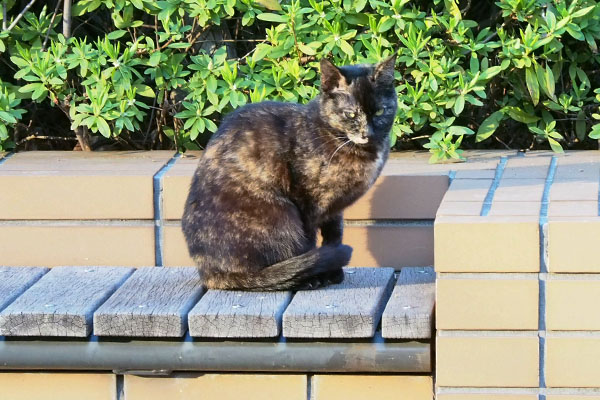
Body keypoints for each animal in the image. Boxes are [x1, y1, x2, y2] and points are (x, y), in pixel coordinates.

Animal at [183, 54, 398, 290]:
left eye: (380, 111)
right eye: (350, 114)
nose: (367, 133)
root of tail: (209, 273)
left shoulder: (333, 210)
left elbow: (334, 236)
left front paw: (333, 272)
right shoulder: (307, 203)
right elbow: (311, 243)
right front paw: (318, 274)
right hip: (282, 213)